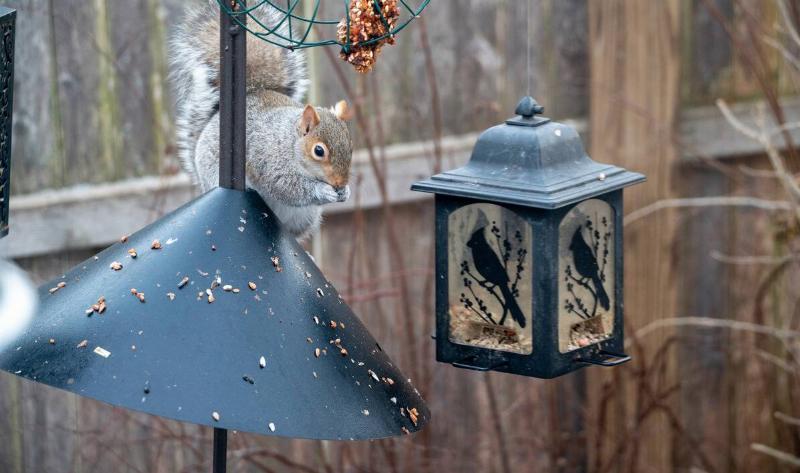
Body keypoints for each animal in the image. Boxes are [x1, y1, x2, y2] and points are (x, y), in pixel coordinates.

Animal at [169, 3, 354, 239]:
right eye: (319, 151)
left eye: (350, 147)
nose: (340, 183)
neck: (290, 143)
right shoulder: (269, 159)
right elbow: (288, 188)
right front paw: (323, 191)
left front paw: (345, 192)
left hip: (303, 217)